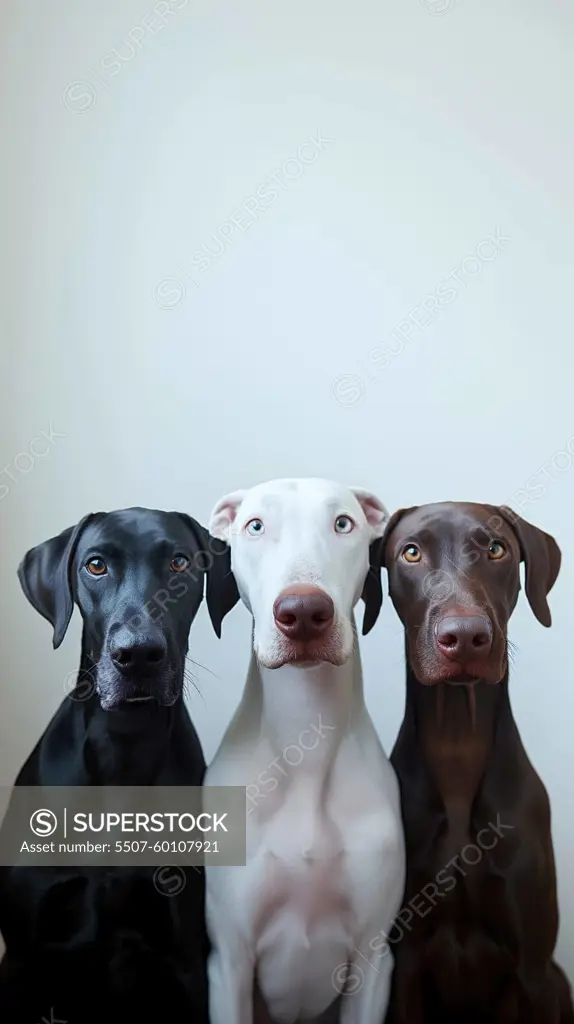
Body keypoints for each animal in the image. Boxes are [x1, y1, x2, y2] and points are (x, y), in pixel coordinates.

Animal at [0, 507, 225, 1024]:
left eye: (180, 563)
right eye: (96, 565)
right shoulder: (21, 955)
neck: (125, 744)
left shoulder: (186, 959)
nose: (138, 654)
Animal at [203, 479, 405, 1024]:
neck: (305, 737)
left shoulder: (373, 959)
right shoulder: (229, 960)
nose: (303, 613)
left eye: (343, 523)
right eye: (255, 525)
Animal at [376, 503, 572, 1024]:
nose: (464, 637)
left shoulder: (534, 969)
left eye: (496, 549)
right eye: (411, 552)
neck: (457, 743)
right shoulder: (404, 966)